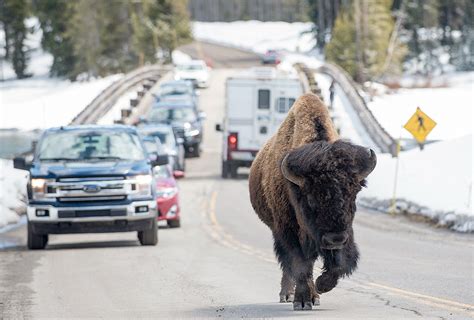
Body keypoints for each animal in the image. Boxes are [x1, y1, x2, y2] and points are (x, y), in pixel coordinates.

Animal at [248, 92, 378, 310]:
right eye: (310, 198)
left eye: (353, 193)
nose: (335, 239)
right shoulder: (288, 232)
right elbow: (300, 265)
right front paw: (303, 300)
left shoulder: (346, 234)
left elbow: (339, 264)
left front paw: (321, 286)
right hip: (277, 231)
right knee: (290, 266)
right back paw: (288, 295)